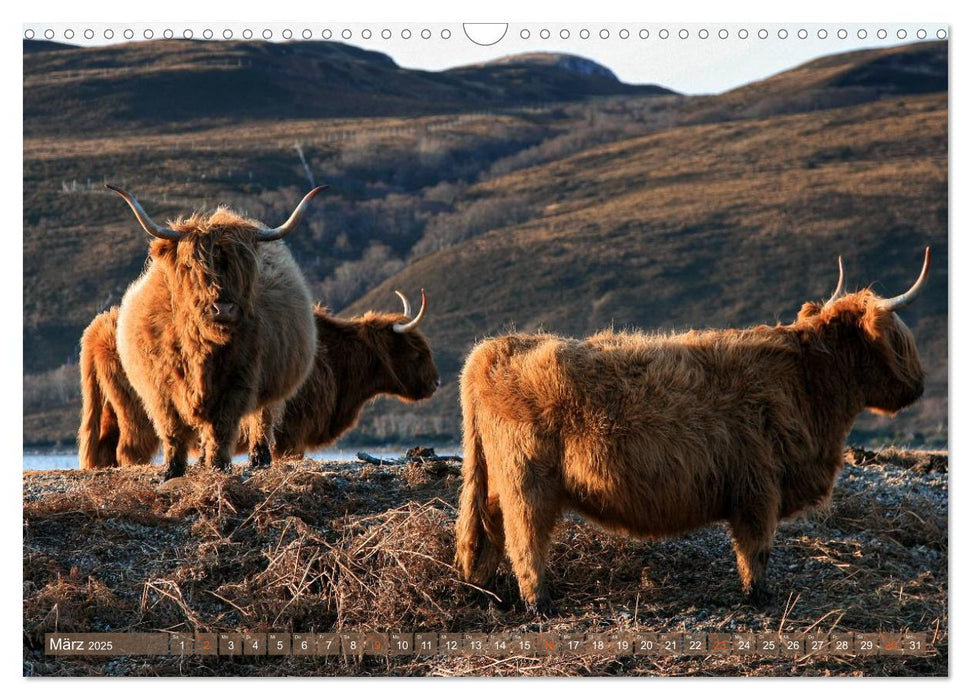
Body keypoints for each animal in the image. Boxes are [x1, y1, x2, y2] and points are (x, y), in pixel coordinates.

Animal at [77, 290, 440, 470]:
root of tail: (97, 327)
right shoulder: (293, 434)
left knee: (105, 448)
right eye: (417, 352)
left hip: (111, 409)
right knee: (129, 450)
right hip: (140, 413)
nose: (436, 383)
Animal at [107, 185, 322, 482]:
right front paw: (172, 470)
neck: (202, 348)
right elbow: (172, 429)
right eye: (191, 266)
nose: (224, 307)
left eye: (245, 268)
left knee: (262, 419)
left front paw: (219, 465)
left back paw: (259, 459)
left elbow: (222, 427)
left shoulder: (238, 382)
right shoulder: (161, 388)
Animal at [460, 250, 932, 612]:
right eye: (898, 339)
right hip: (527, 481)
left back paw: (486, 590)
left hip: (499, 480)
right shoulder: (759, 488)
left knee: (489, 525)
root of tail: (493, 347)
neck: (808, 383)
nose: (920, 385)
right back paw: (539, 603)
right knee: (525, 540)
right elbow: (756, 548)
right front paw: (758, 595)